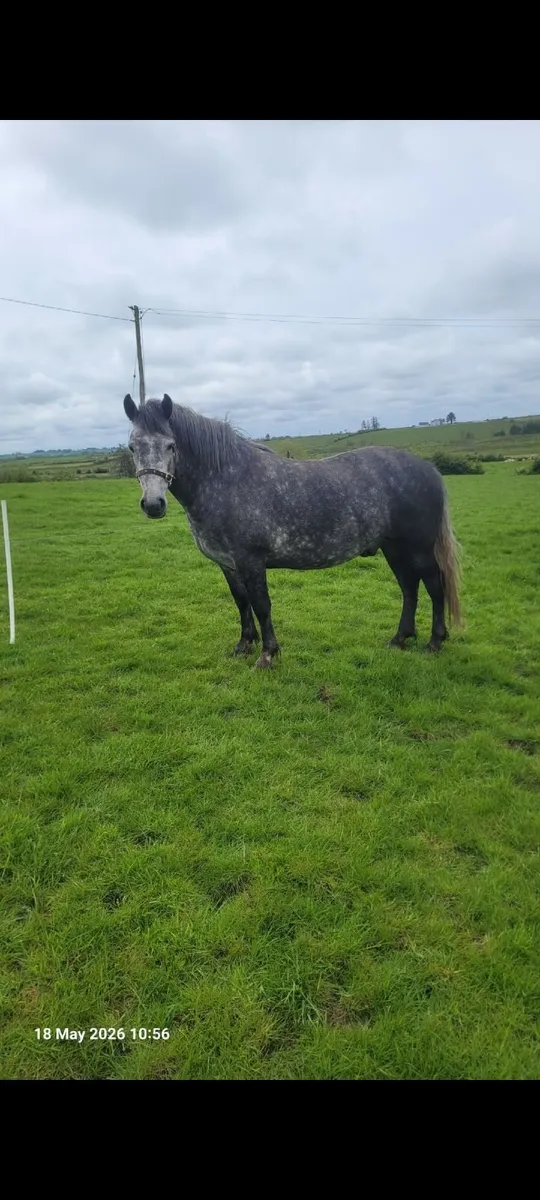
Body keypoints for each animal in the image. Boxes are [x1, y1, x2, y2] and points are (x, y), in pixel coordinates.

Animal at [123, 393, 462, 667]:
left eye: (171, 446)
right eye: (132, 446)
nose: (153, 504)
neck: (226, 481)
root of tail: (428, 468)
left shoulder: (251, 561)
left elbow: (262, 605)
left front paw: (268, 655)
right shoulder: (227, 564)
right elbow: (241, 602)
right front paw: (243, 646)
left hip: (418, 549)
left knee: (434, 586)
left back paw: (434, 642)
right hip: (394, 548)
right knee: (409, 588)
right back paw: (400, 639)